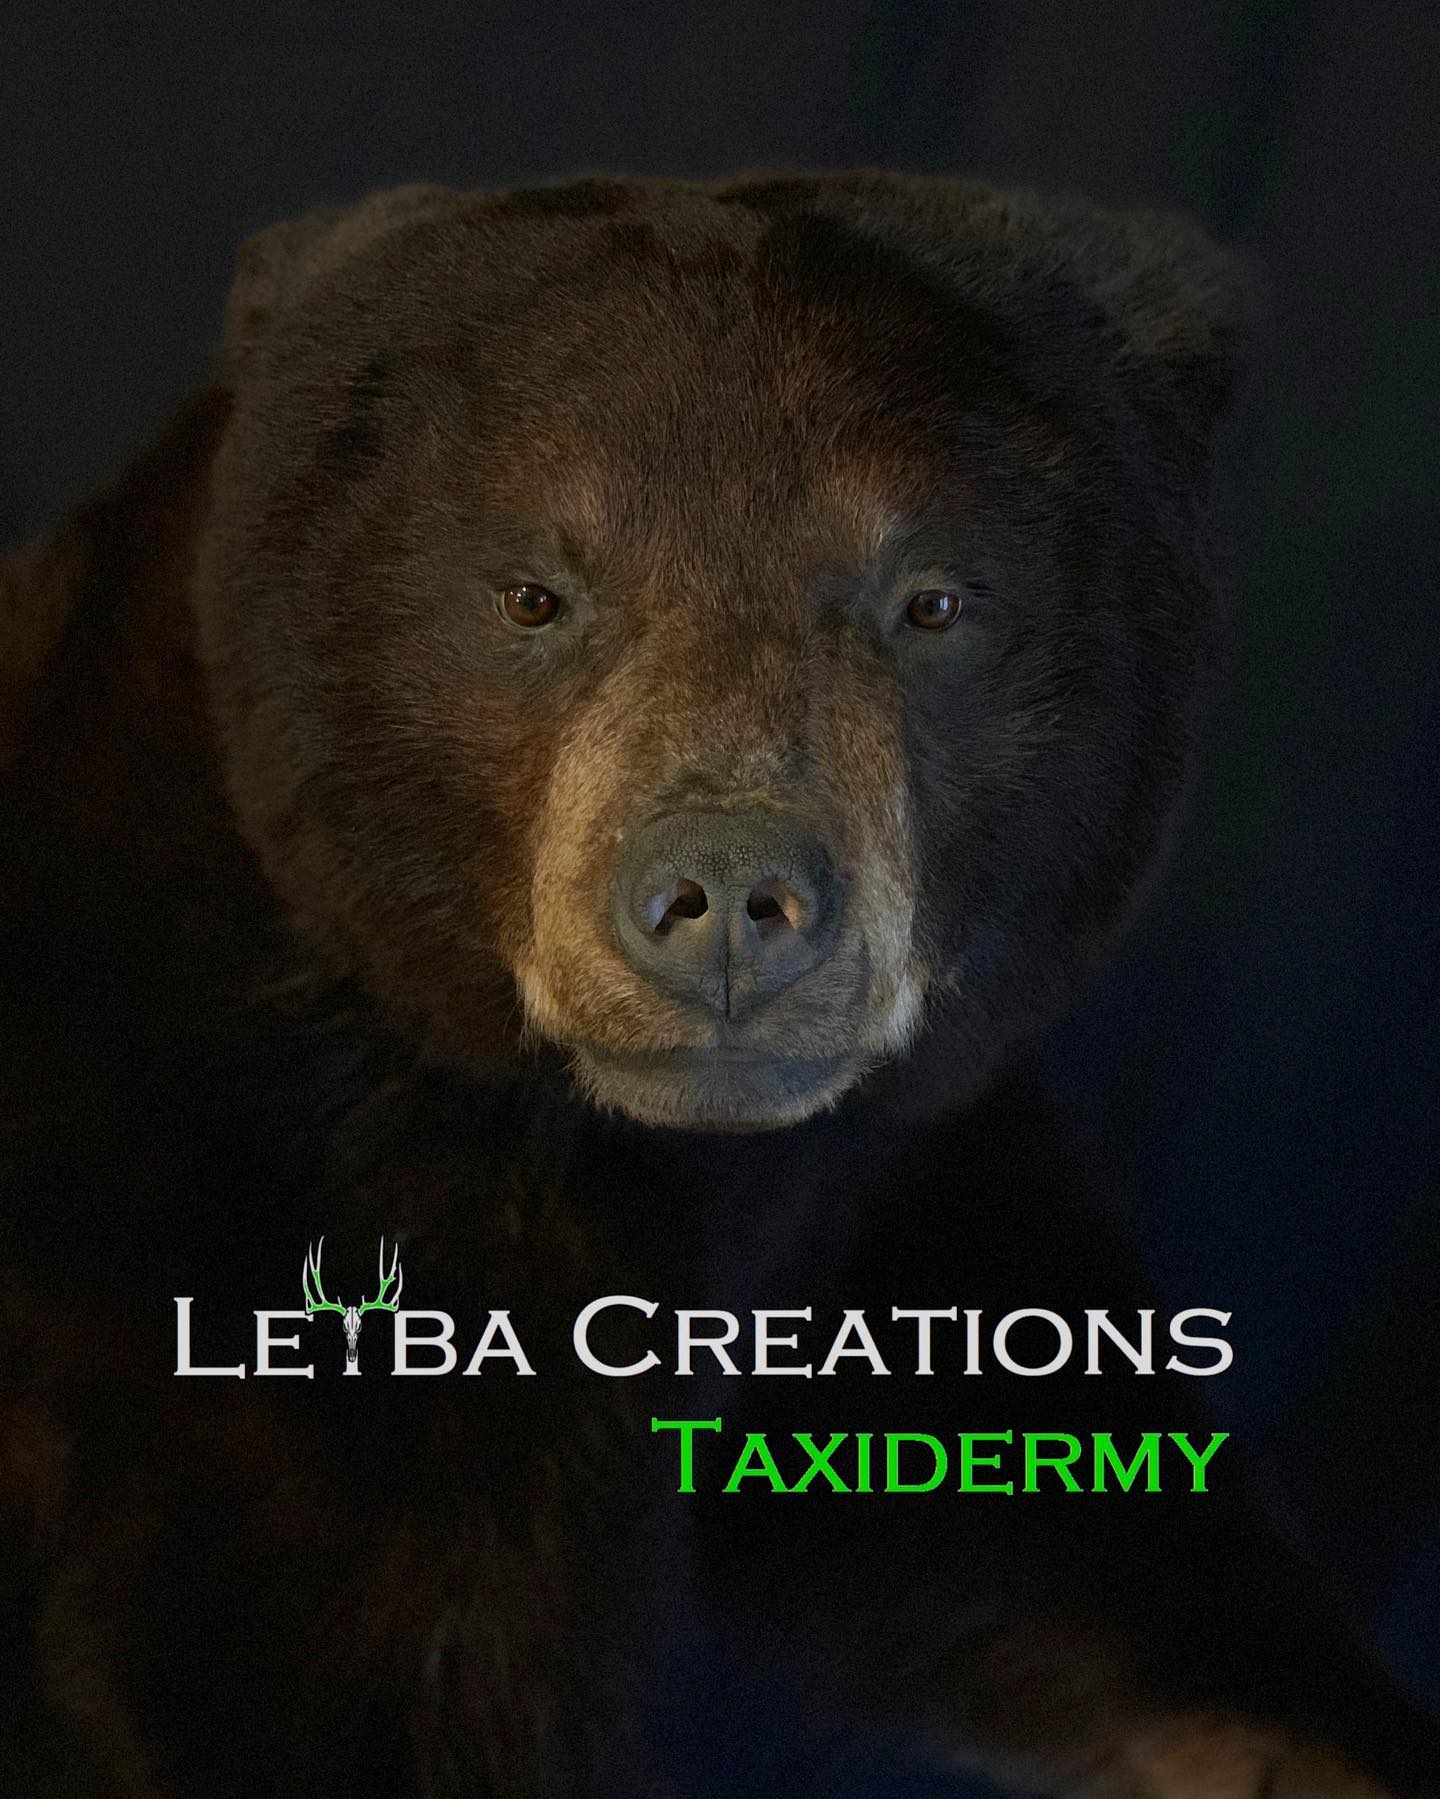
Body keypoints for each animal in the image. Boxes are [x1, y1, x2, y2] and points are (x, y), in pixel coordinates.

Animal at [1, 170, 1436, 1797]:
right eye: (534, 593)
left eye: (931, 600)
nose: (732, 894)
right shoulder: (258, 1310)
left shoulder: (893, 1170)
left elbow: (1043, 1476)